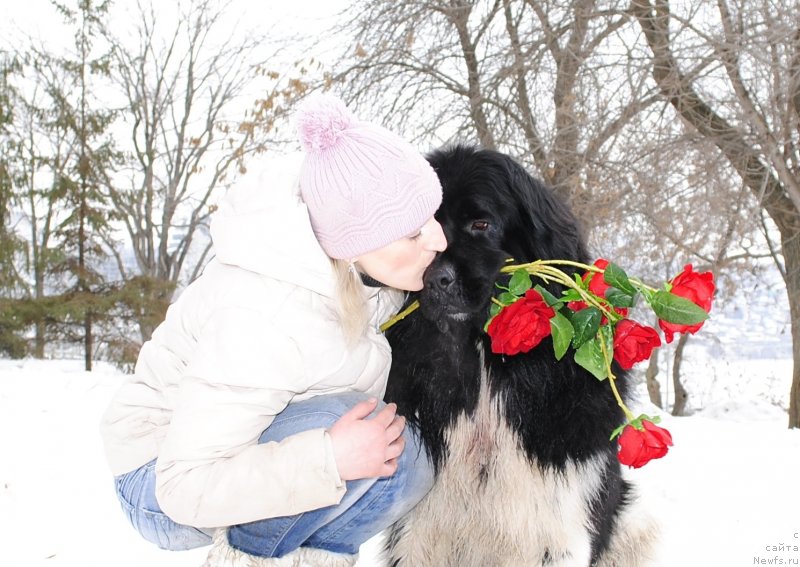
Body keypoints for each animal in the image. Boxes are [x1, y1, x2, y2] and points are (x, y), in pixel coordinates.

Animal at [386, 146, 656, 567]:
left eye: (481, 223)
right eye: (419, 232)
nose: (432, 279)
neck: (485, 371)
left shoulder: (558, 530)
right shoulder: (418, 532)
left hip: (637, 522)